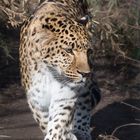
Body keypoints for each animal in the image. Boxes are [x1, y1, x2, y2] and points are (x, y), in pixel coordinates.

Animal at [19, 0, 100, 139]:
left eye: (89, 51)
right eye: (68, 50)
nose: (85, 73)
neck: (49, 72)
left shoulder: (65, 94)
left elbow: (59, 121)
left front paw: (57, 134)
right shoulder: (36, 100)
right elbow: (45, 121)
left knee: (84, 103)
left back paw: (81, 131)